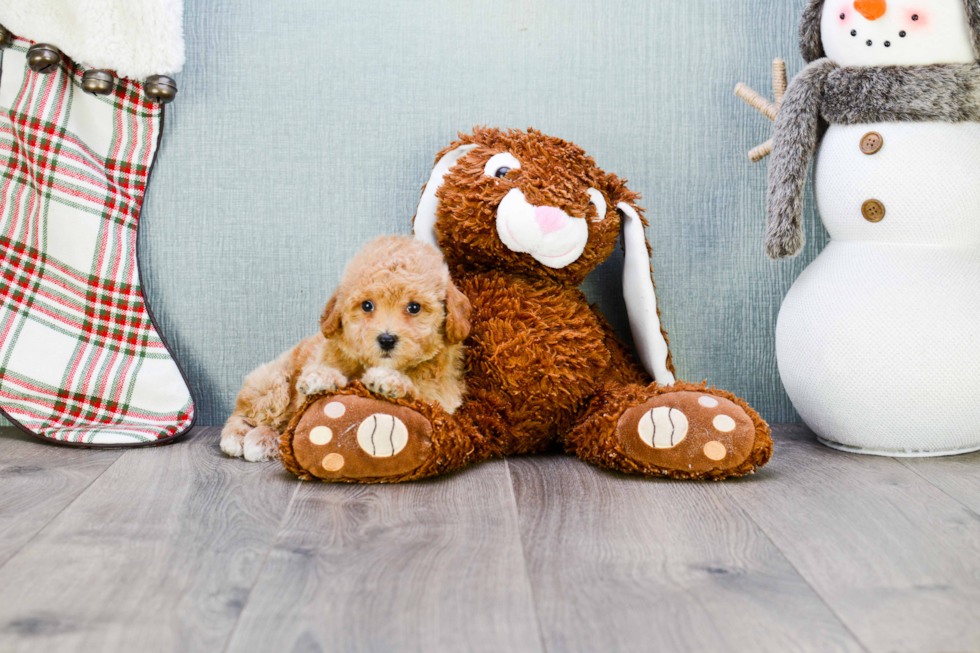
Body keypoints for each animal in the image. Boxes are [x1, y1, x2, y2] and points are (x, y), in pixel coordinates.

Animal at [219, 234, 470, 458]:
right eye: (367, 305)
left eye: (414, 307)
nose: (386, 339)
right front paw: (320, 378)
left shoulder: (443, 399)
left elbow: (422, 398)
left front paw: (389, 380)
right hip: (272, 383)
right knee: (245, 414)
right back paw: (238, 438)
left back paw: (264, 439)